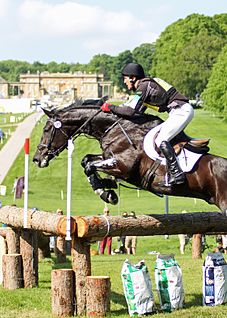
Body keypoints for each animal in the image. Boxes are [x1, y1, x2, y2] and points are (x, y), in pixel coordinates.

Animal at [32, 98, 227, 215]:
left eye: (46, 129)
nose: (36, 159)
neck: (114, 128)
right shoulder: (110, 158)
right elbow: (87, 160)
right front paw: (107, 189)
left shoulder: (124, 167)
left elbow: (90, 165)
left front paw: (106, 191)